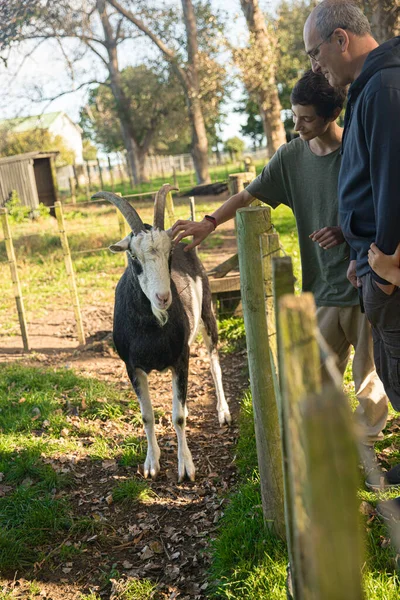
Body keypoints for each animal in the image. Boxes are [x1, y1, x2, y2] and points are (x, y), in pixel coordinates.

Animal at [93, 186, 231, 482]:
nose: (163, 297)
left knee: (214, 363)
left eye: (168, 254)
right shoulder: (131, 366)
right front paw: (151, 463)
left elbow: (178, 416)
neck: (151, 328)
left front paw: (186, 467)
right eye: (133, 256)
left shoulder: (181, 358)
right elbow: (147, 415)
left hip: (207, 313)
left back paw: (223, 412)